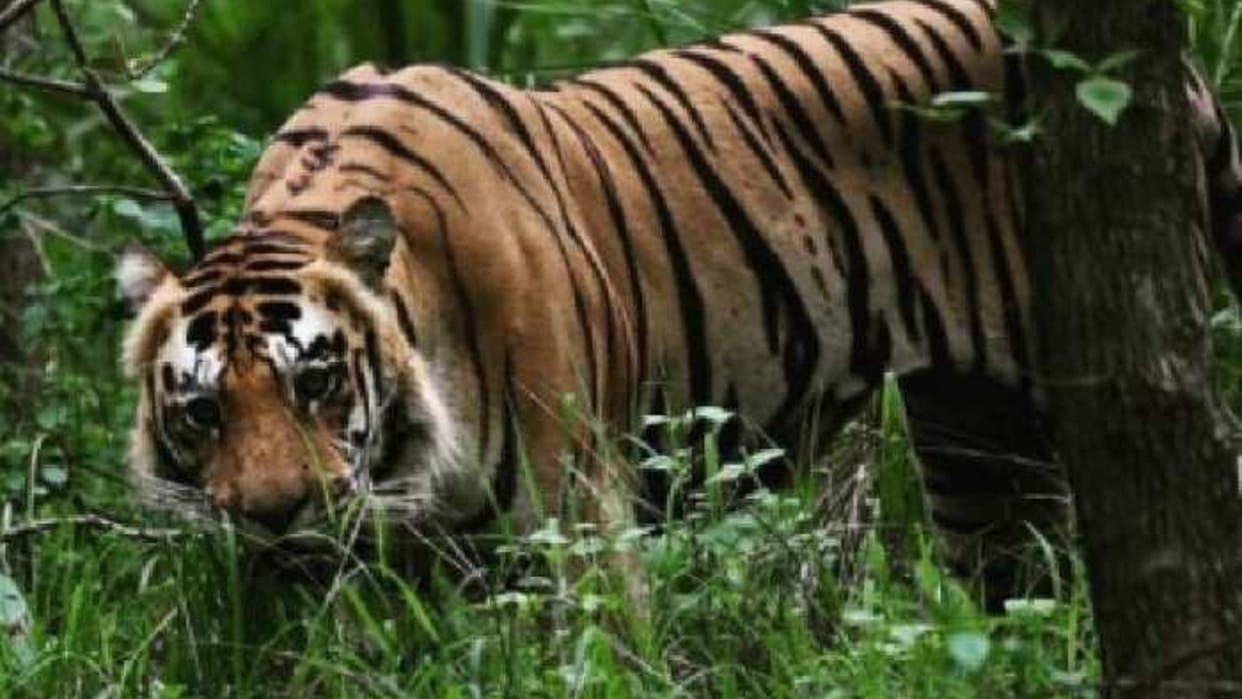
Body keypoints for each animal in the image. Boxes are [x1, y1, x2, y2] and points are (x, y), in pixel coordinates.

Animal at [117, 0, 1242, 604]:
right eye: (203, 410)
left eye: (313, 382)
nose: (275, 520)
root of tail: (1174, 63)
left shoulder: (580, 525)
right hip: (980, 452)